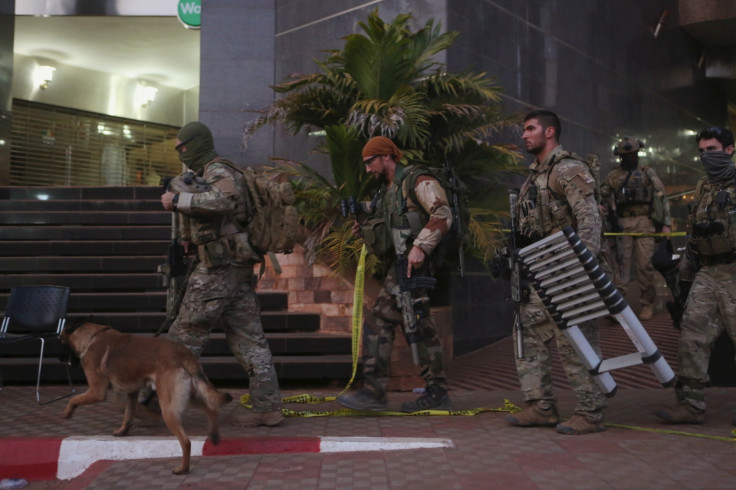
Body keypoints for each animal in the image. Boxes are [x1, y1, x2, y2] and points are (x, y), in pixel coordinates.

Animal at [61, 322, 233, 474]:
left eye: (61, 342)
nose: (62, 361)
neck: (93, 336)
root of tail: (185, 354)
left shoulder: (96, 391)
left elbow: (73, 399)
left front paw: (67, 413)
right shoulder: (132, 393)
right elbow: (128, 415)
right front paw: (122, 431)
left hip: (168, 407)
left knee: (186, 442)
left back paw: (183, 469)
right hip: (186, 397)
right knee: (210, 407)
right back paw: (214, 435)